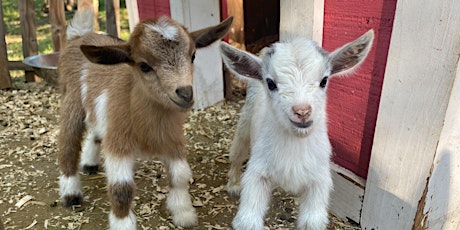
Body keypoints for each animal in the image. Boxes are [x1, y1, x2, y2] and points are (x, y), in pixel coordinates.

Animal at [57, 8, 232, 228]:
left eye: (193, 55)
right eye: (144, 66)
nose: (185, 94)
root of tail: (79, 37)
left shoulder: (172, 139)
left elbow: (180, 175)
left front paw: (184, 214)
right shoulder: (119, 142)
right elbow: (121, 189)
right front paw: (123, 224)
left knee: (95, 132)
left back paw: (89, 164)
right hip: (71, 101)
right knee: (68, 143)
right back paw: (70, 194)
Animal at [219, 29, 374, 229]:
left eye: (324, 80)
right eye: (270, 83)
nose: (302, 111)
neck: (296, 142)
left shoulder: (318, 181)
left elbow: (311, 221)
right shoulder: (257, 173)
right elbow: (248, 220)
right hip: (245, 120)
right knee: (237, 152)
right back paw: (233, 184)